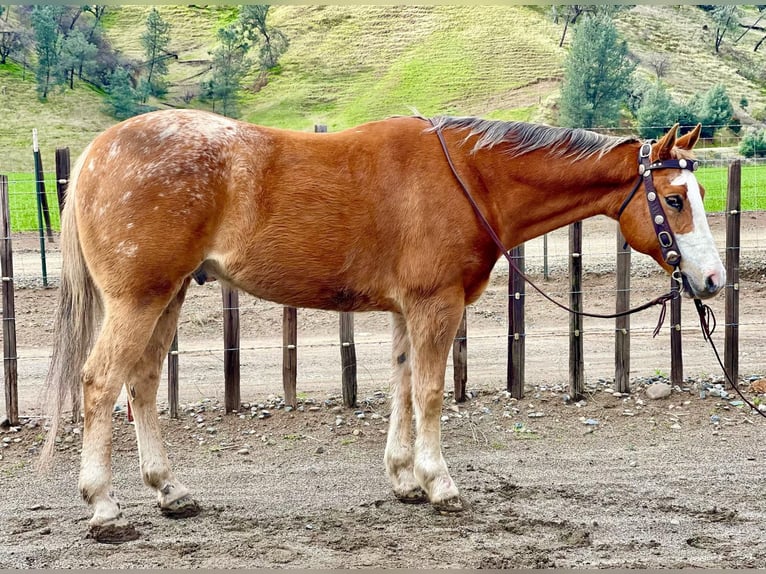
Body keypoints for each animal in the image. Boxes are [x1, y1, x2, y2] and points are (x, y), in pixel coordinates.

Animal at [39, 109, 728, 544]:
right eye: (673, 200)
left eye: (696, 195)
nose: (714, 280)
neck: (470, 179)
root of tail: (99, 152)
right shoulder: (435, 305)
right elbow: (429, 392)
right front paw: (439, 483)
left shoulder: (406, 310)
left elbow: (401, 388)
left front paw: (403, 478)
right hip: (139, 298)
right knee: (100, 383)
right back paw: (104, 507)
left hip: (170, 295)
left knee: (143, 385)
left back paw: (169, 490)